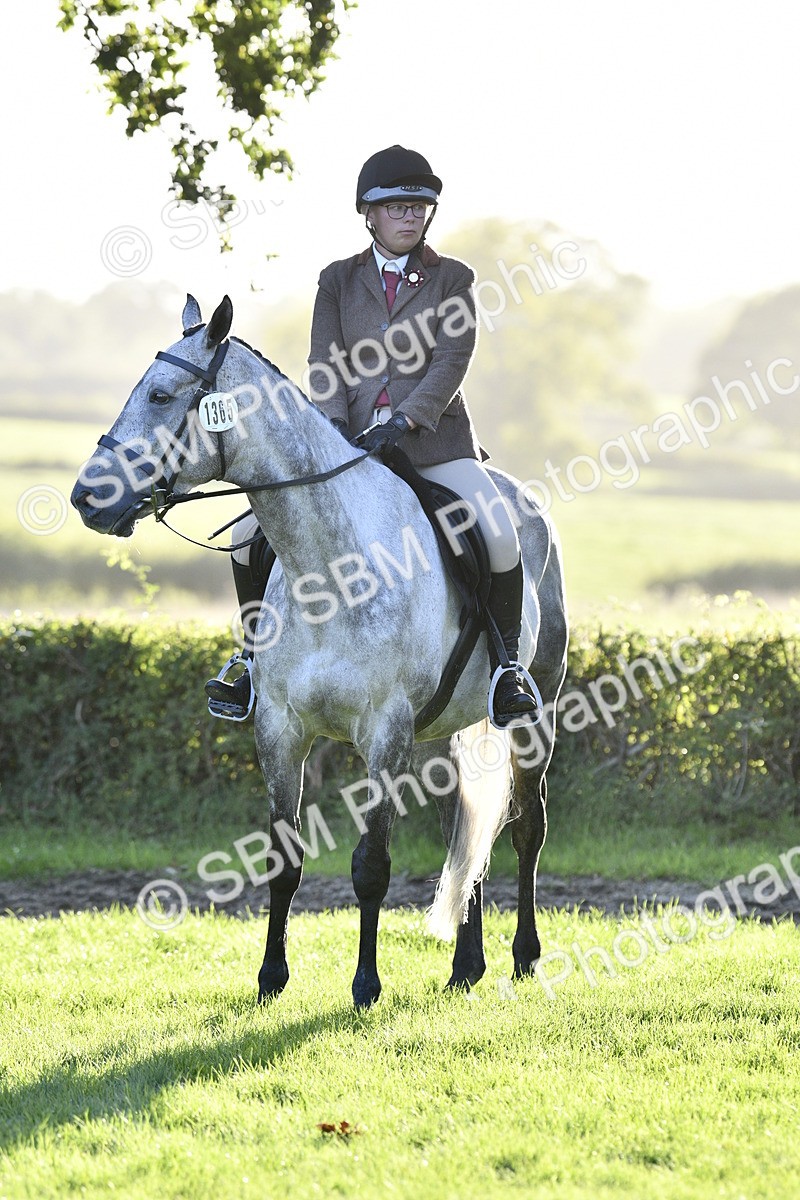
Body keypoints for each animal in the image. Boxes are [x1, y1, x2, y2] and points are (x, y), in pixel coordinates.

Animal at [70, 294, 568, 1008]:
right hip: (445, 728)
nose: (87, 497)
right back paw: (465, 965)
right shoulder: (281, 729)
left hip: (537, 709)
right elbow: (283, 857)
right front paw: (270, 979)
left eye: (162, 395)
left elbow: (371, 866)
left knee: (527, 824)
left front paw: (365, 986)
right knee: (465, 823)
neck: (331, 568)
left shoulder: (384, 733)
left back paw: (524, 957)